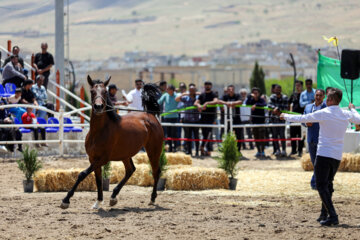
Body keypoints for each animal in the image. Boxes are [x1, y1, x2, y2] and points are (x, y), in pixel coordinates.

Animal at [60, 76, 165, 209]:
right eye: (92, 91)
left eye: (105, 91)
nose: (98, 106)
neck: (99, 131)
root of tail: (150, 116)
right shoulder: (93, 158)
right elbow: (98, 180)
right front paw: (98, 202)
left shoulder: (103, 159)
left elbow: (82, 174)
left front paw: (66, 200)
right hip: (125, 154)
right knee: (130, 170)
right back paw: (113, 197)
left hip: (153, 151)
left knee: (156, 171)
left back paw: (152, 199)